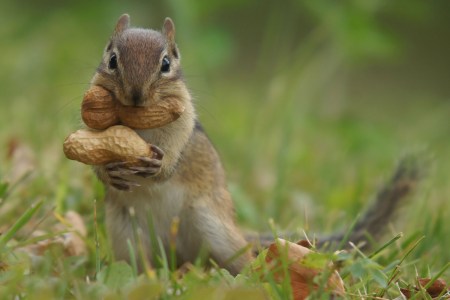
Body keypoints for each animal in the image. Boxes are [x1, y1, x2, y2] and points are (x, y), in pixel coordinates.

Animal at [88, 14, 426, 276]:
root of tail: (176, 253)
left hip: (216, 230)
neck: (138, 124)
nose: (135, 96)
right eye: (112, 59)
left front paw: (159, 166)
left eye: (166, 63)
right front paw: (109, 172)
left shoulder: (183, 125)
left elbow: (174, 156)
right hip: (127, 238)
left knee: (242, 260)